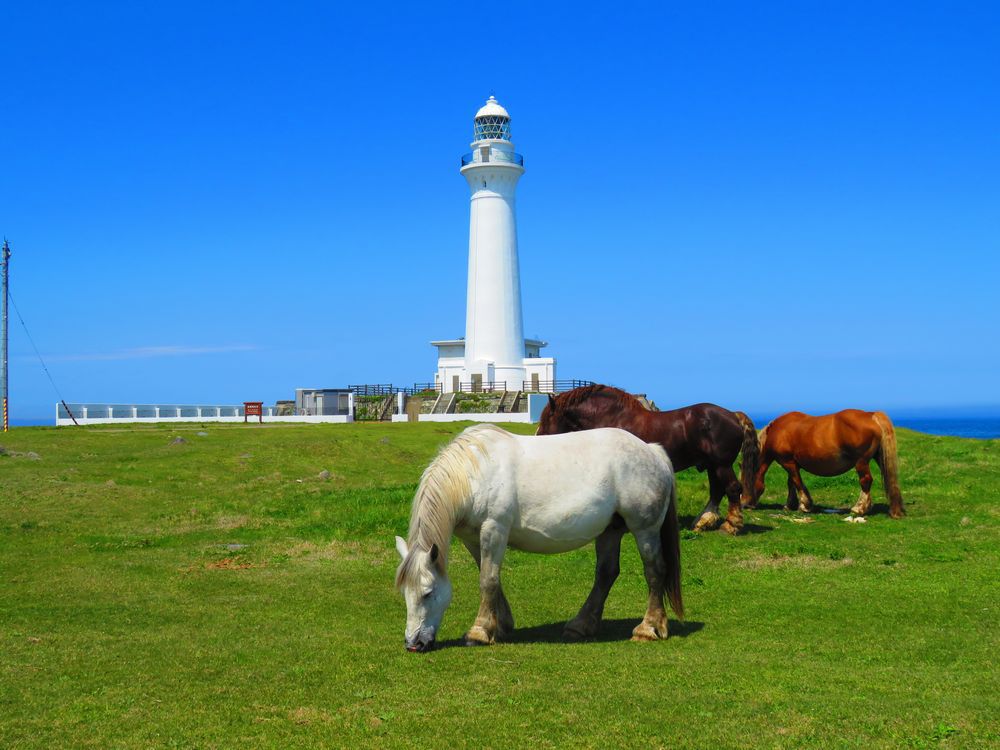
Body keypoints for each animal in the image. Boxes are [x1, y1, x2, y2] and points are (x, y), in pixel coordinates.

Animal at [390, 424, 680, 652]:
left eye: (428, 593)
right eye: (404, 593)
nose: (413, 644)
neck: (474, 474)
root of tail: (651, 450)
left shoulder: (494, 529)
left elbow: (488, 580)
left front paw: (479, 632)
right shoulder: (473, 538)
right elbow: (490, 576)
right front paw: (501, 626)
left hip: (645, 529)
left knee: (654, 570)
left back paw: (648, 628)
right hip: (610, 530)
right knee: (606, 573)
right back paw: (581, 626)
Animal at [540, 388, 756, 536]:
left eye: (547, 418)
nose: (538, 436)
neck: (613, 417)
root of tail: (733, 415)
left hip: (721, 465)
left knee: (732, 488)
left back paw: (731, 525)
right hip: (713, 465)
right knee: (717, 491)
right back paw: (703, 522)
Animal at [752, 408, 908, 520]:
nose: (748, 505)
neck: (777, 431)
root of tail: (871, 415)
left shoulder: (787, 462)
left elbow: (797, 482)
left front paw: (805, 505)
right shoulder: (792, 463)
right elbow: (791, 483)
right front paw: (791, 505)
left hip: (861, 462)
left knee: (866, 481)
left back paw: (859, 508)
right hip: (879, 458)